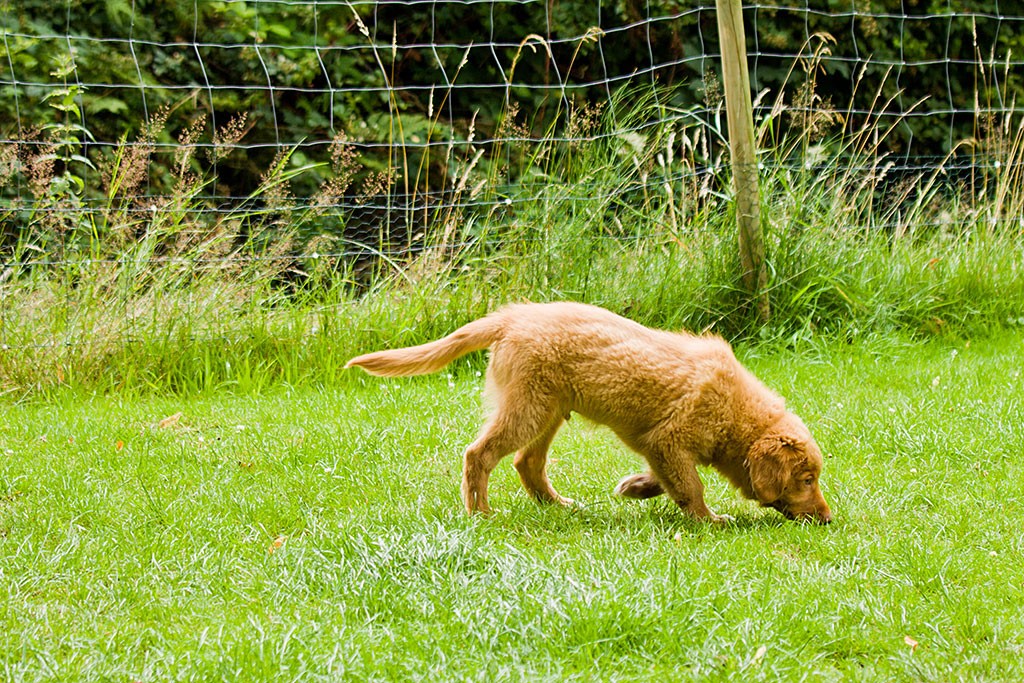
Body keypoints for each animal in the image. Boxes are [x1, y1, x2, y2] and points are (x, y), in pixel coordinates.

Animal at [344, 303, 831, 524]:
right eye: (807, 479)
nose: (827, 519)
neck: (736, 413)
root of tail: (512, 317)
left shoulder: (657, 445)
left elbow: (670, 478)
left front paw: (637, 488)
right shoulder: (669, 439)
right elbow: (691, 485)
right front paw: (708, 520)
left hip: (549, 411)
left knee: (527, 462)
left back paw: (558, 506)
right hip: (527, 409)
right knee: (478, 454)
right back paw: (480, 511)